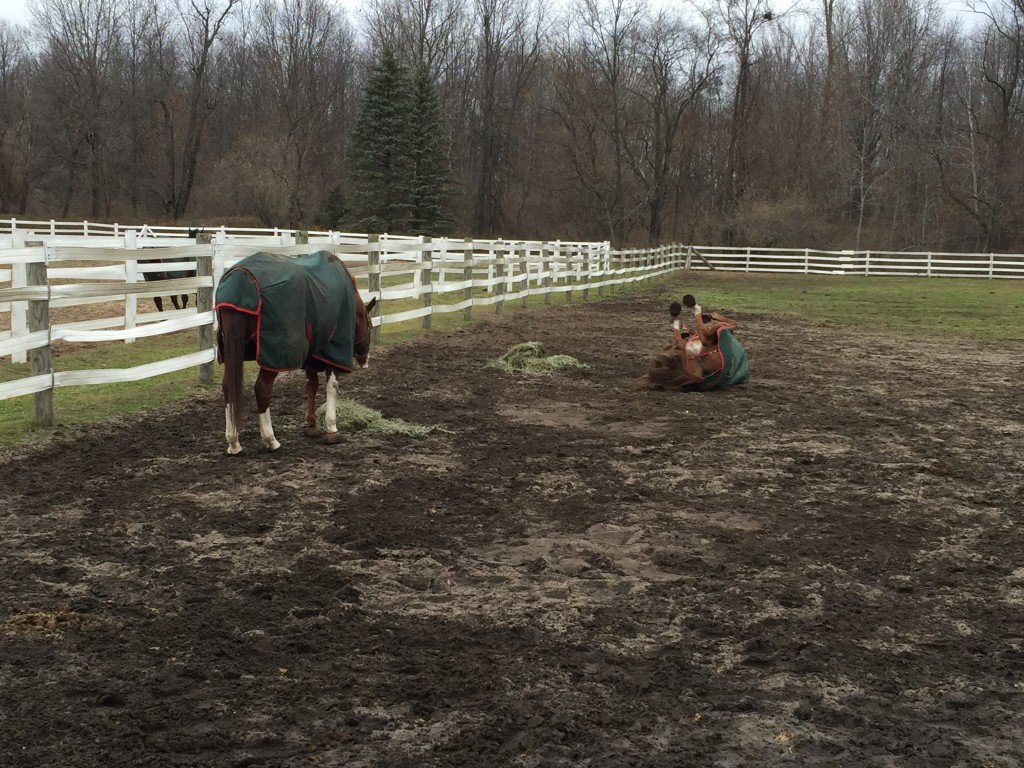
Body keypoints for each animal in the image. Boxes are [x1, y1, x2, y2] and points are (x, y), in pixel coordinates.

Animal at [215, 250, 376, 456]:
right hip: (273, 358)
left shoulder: (312, 356)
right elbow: (331, 387)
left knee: (228, 387)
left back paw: (234, 442)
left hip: (231, 353)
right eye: (370, 327)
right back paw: (271, 440)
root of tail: (240, 277)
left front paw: (311, 425)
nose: (365, 360)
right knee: (262, 389)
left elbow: (311, 386)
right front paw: (332, 428)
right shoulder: (334, 352)